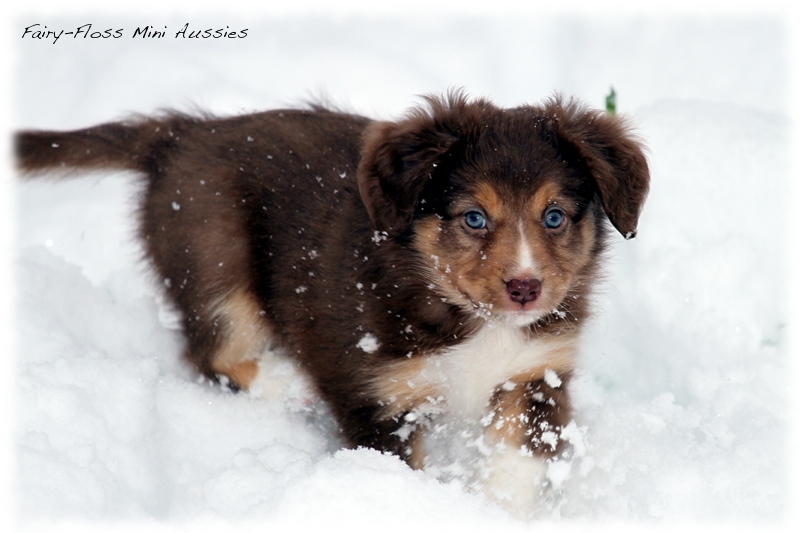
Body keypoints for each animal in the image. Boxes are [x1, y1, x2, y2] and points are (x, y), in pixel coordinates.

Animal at [15, 91, 648, 516]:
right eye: (473, 218)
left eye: (554, 216)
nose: (525, 288)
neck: (468, 320)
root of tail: (180, 135)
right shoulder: (377, 397)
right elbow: (401, 470)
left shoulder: (535, 374)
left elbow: (517, 463)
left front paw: (496, 513)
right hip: (216, 264)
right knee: (211, 354)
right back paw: (290, 384)